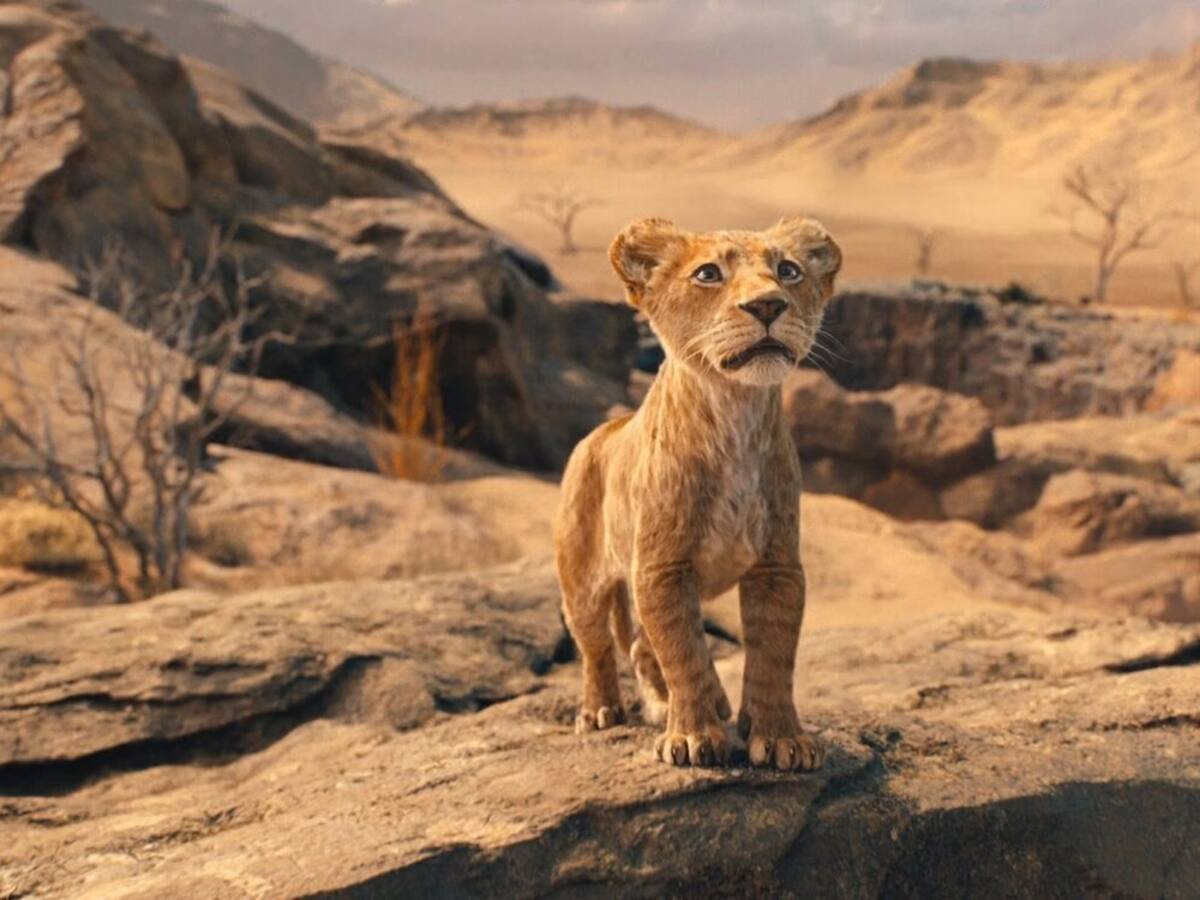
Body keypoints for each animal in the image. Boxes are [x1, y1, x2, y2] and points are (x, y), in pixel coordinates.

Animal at [554, 215, 842, 770]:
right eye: (708, 274)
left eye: (788, 270)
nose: (768, 305)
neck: (734, 414)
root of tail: (604, 428)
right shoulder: (661, 568)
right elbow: (683, 652)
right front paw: (690, 737)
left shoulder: (777, 566)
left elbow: (774, 654)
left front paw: (781, 738)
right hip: (582, 581)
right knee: (599, 647)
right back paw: (601, 711)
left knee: (643, 647)